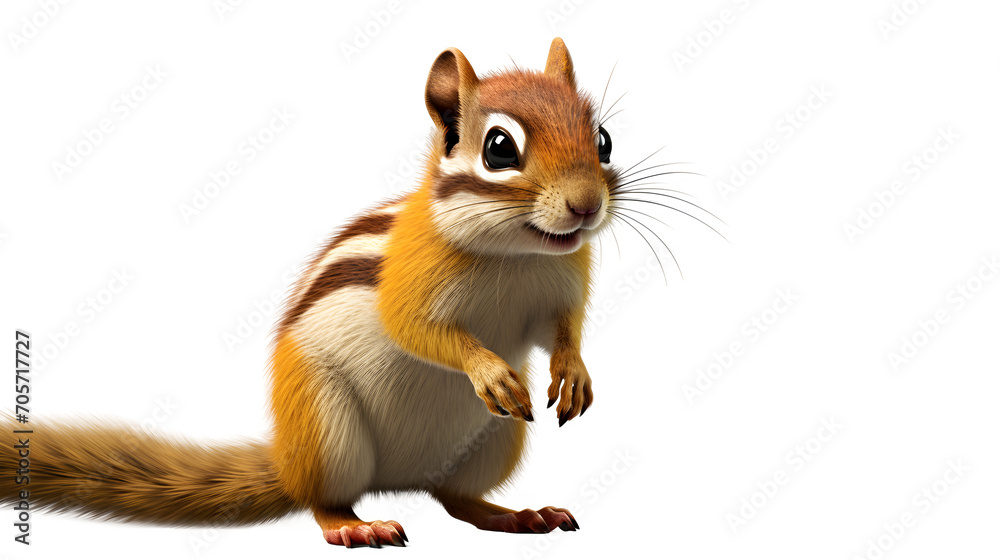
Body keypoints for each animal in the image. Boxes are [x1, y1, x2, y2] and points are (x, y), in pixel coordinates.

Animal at [3, 37, 628, 548]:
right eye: (499, 147)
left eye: (602, 139)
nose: (586, 205)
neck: (519, 254)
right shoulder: (409, 284)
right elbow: (418, 330)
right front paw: (490, 370)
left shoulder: (563, 292)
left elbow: (563, 331)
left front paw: (573, 371)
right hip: (327, 427)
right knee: (324, 501)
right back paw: (354, 525)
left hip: (496, 441)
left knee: (456, 500)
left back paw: (515, 515)